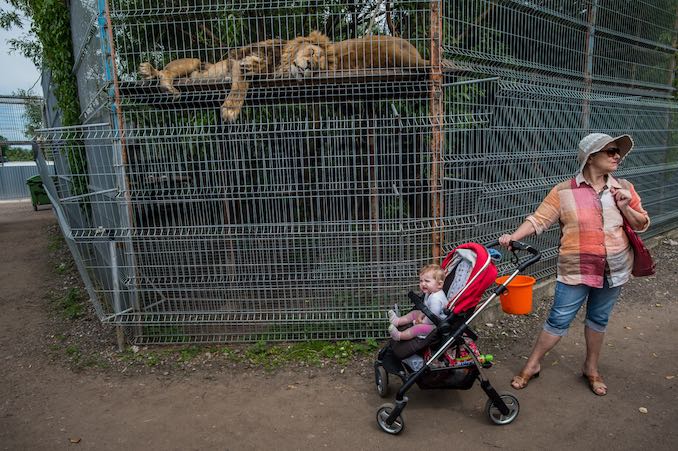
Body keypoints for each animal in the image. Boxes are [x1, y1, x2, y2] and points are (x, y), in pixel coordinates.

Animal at [140, 31, 430, 122]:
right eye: (311, 52)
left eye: (319, 66)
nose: (310, 65)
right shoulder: (238, 57)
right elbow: (241, 83)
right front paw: (231, 109)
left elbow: (251, 74)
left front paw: (256, 68)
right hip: (200, 66)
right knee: (170, 70)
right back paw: (154, 74)